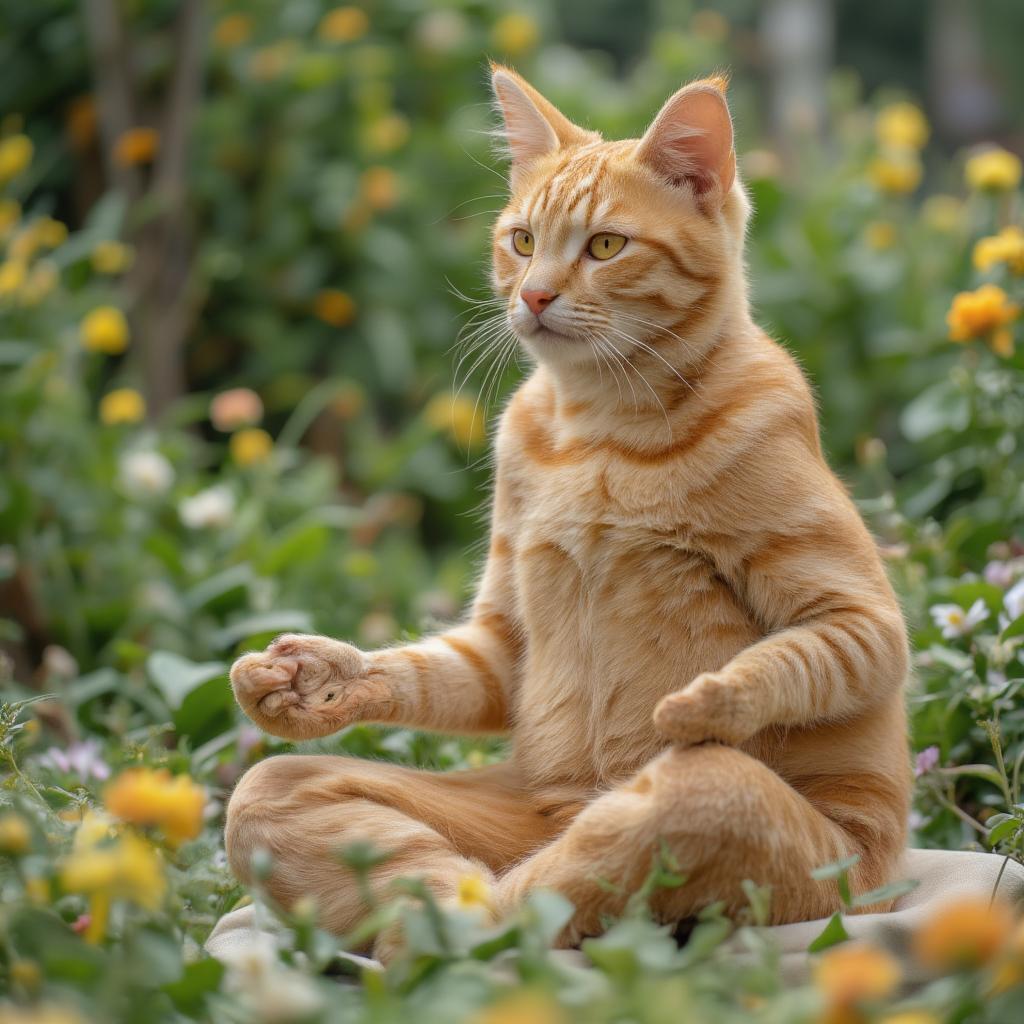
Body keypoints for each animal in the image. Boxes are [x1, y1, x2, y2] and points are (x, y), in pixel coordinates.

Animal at [226, 66, 913, 958]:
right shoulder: (506, 633)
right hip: (349, 798)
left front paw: (705, 703)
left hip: (766, 835)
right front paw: (316, 676)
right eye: (522, 241)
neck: (599, 428)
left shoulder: (860, 620)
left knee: (572, 876)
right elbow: (434, 669)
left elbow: (794, 658)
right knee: (373, 840)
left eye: (606, 247)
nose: (534, 294)